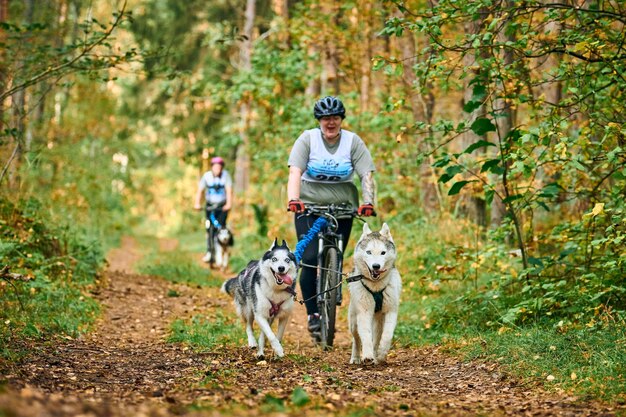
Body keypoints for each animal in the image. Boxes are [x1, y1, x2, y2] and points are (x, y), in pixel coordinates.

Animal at [346, 223, 400, 362]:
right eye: (368, 252)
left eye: (383, 253)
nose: (376, 266)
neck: (376, 287)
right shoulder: (364, 312)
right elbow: (365, 335)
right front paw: (367, 355)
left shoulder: (391, 311)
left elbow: (387, 336)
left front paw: (381, 354)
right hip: (354, 321)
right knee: (356, 338)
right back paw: (356, 357)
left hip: (378, 321)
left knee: (377, 337)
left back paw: (376, 356)